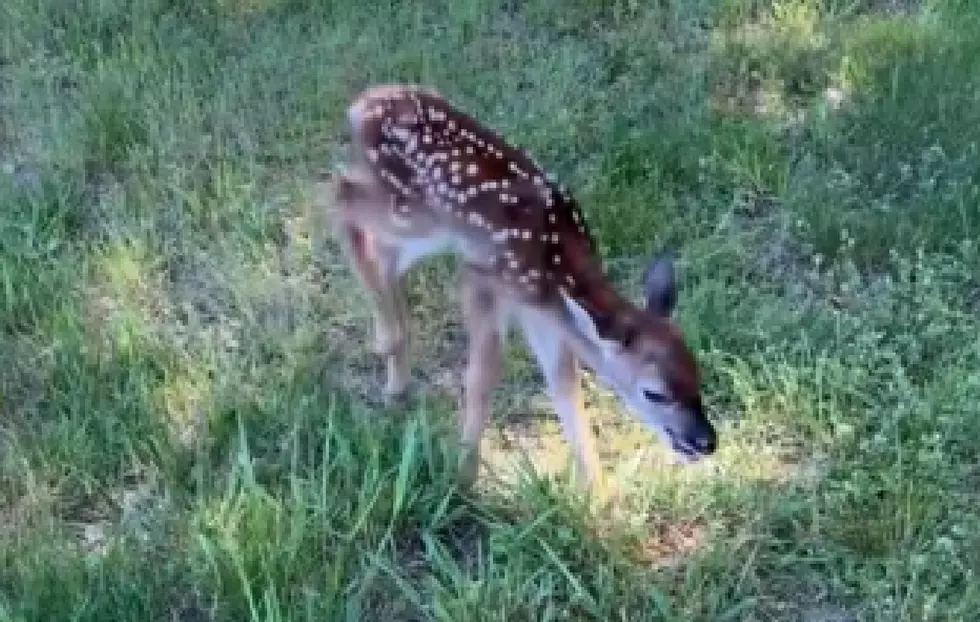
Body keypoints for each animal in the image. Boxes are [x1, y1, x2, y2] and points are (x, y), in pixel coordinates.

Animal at [322, 83, 717, 491]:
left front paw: (600, 495)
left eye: (697, 374)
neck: (554, 269)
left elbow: (565, 387)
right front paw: (463, 478)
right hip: (414, 210)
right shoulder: (484, 278)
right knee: (342, 198)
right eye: (654, 392)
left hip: (427, 223)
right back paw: (389, 341)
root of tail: (362, 104)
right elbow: (482, 378)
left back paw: (396, 372)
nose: (705, 442)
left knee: (380, 248)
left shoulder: (541, 311)